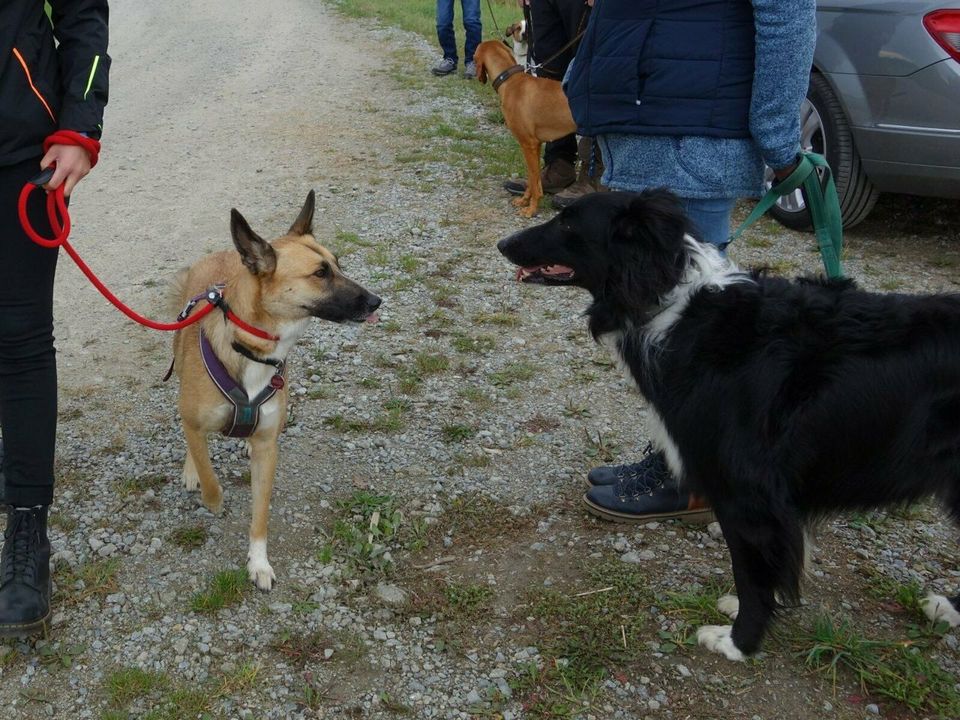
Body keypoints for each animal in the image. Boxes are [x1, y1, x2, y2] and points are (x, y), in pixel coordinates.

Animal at [171, 191, 380, 592]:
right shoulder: (195, 420)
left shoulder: (269, 447)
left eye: (338, 264)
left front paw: (258, 563)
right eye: (320, 273)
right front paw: (211, 497)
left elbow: (260, 515)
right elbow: (209, 474)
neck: (252, 348)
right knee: (191, 437)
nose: (377, 301)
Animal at [474, 39, 572, 217]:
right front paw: (524, 200)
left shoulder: (528, 144)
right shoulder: (536, 145)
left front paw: (531, 209)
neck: (511, 81)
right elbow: (534, 180)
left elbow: (533, 180)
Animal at [498, 188, 960, 660]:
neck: (672, 308)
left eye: (568, 223)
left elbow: (751, 573)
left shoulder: (747, 496)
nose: (503, 244)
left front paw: (740, 640)